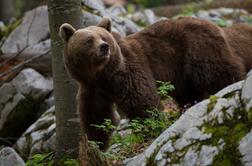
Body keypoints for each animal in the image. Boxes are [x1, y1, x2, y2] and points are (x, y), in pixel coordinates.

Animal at [60, 16, 252, 149]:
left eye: (104, 37)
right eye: (89, 40)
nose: (104, 47)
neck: (102, 75)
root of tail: (218, 27)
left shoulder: (128, 72)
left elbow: (141, 101)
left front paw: (150, 130)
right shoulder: (92, 89)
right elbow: (96, 117)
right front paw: (96, 143)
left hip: (199, 50)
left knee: (221, 74)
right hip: (183, 75)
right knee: (189, 93)